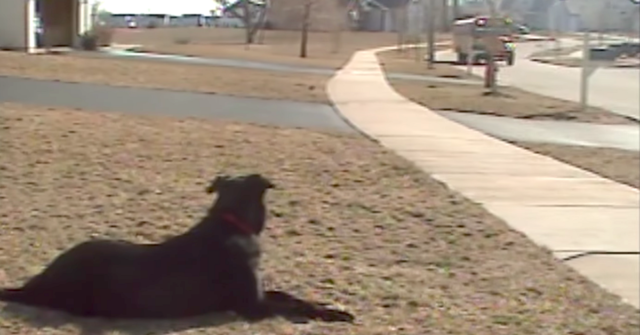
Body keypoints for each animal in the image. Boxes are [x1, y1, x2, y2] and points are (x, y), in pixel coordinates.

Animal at [0, 175, 356, 324]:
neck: (230, 222)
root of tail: (37, 284)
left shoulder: (258, 292)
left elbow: (293, 298)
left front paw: (331, 307)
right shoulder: (252, 306)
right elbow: (291, 306)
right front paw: (330, 315)